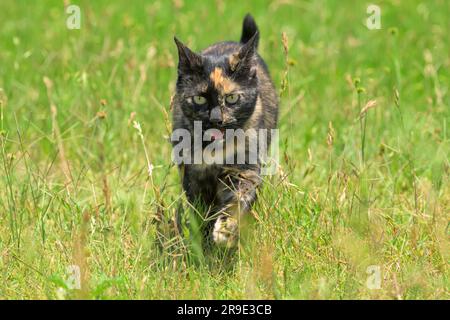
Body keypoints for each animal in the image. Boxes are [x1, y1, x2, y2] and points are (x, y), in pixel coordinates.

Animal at [172, 13, 278, 249]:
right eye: (199, 98)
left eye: (231, 98)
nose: (216, 119)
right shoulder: (193, 177)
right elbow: (200, 211)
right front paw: (202, 241)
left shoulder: (244, 171)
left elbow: (237, 201)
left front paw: (226, 231)